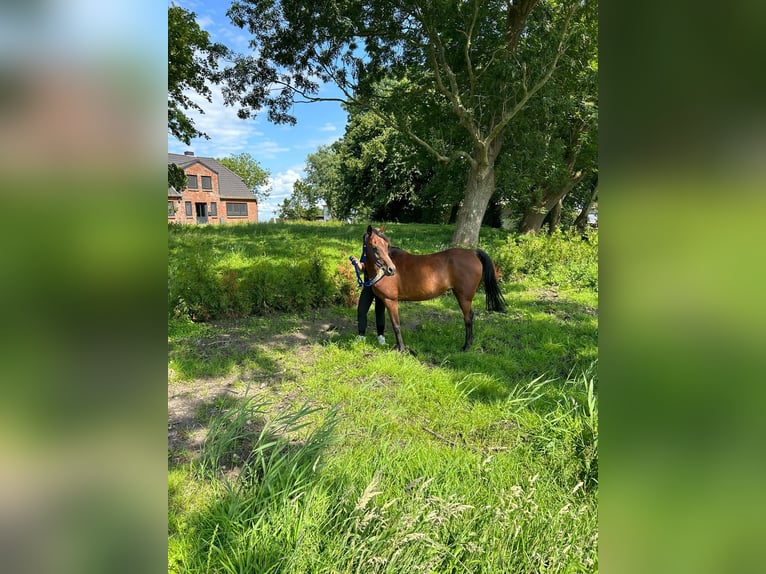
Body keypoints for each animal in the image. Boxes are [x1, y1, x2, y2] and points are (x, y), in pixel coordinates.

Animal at [364, 225, 508, 352]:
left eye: (387, 246)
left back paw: (466, 346)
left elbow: (396, 325)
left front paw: (402, 349)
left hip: (464, 296)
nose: (391, 269)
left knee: (468, 317)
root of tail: (473, 252)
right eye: (374, 247)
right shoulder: (381, 299)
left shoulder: (391, 300)